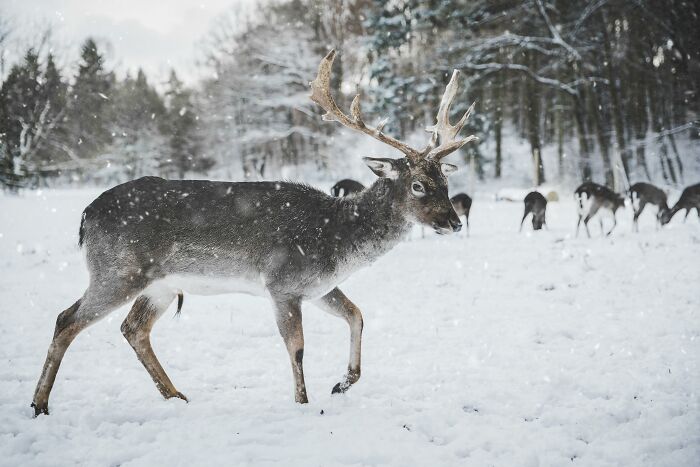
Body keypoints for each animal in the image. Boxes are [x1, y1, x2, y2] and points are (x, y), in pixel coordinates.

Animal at [31, 50, 476, 416]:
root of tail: (86, 215)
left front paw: (342, 383)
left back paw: (176, 396)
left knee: (133, 329)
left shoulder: (317, 286)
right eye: (417, 185)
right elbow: (297, 348)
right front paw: (303, 403)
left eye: (444, 180)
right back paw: (40, 404)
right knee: (66, 319)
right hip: (118, 270)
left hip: (158, 285)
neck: (337, 240)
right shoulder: (282, 282)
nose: (453, 222)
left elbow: (357, 315)